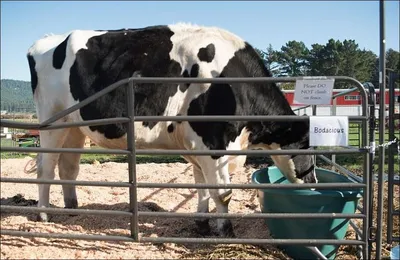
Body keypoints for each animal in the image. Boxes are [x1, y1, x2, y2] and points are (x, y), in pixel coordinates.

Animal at [26, 22, 318, 238]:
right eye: (307, 145)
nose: (314, 183)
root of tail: (46, 41)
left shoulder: (198, 145)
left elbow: (201, 185)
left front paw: (202, 224)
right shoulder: (213, 141)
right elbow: (222, 192)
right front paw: (226, 231)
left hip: (74, 127)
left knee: (68, 167)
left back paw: (72, 208)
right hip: (52, 121)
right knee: (45, 167)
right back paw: (44, 213)